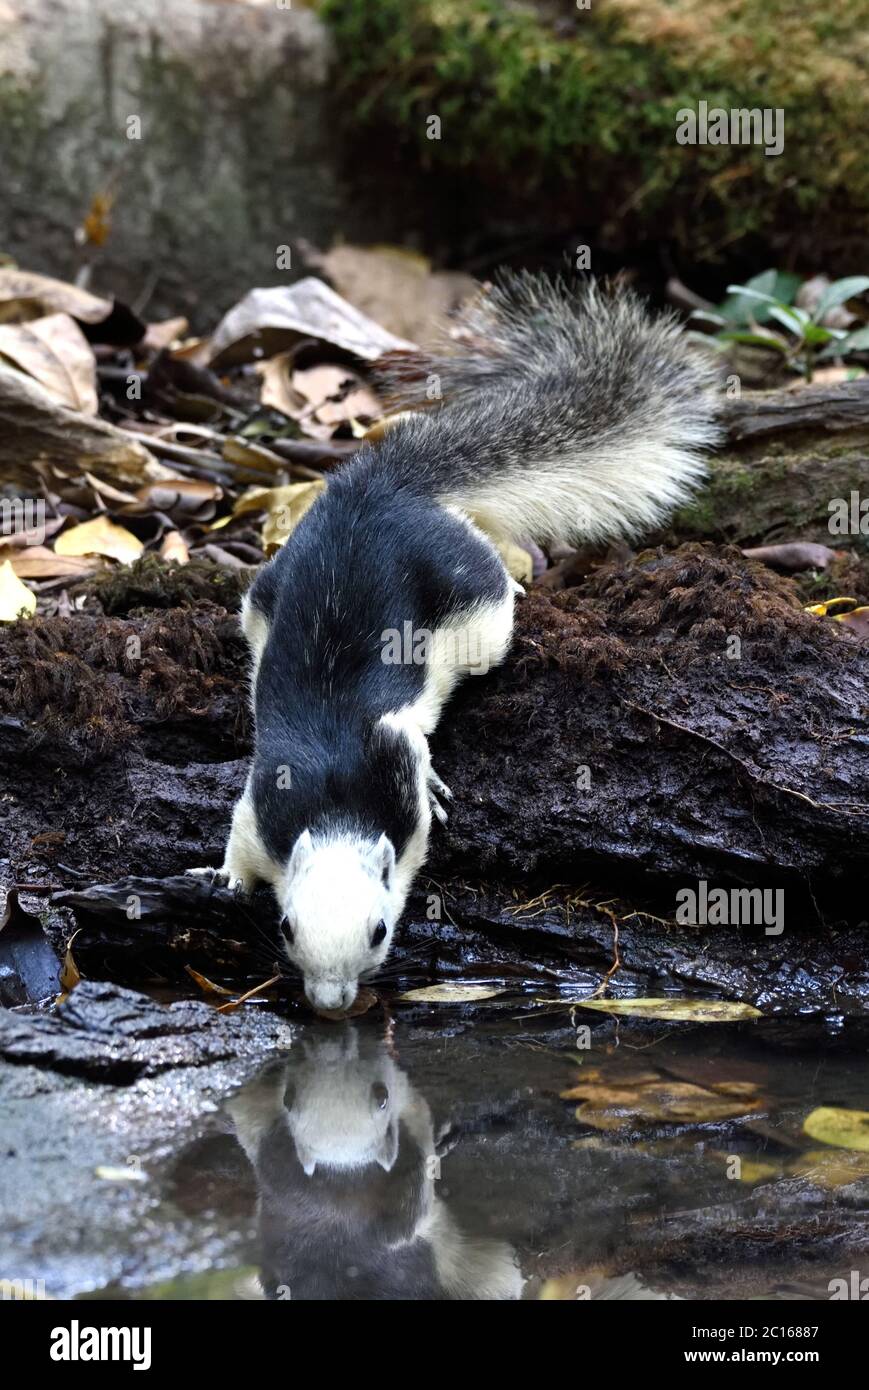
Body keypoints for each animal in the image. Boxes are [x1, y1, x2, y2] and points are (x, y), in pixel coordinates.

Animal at [189, 273, 717, 1011]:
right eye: (287, 927)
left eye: (381, 931)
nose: (331, 1003)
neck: (337, 805)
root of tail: (384, 487)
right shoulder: (267, 801)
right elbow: (240, 837)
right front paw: (224, 878)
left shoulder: (389, 762)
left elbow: (414, 750)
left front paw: (436, 786)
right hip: (263, 598)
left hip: (474, 608)